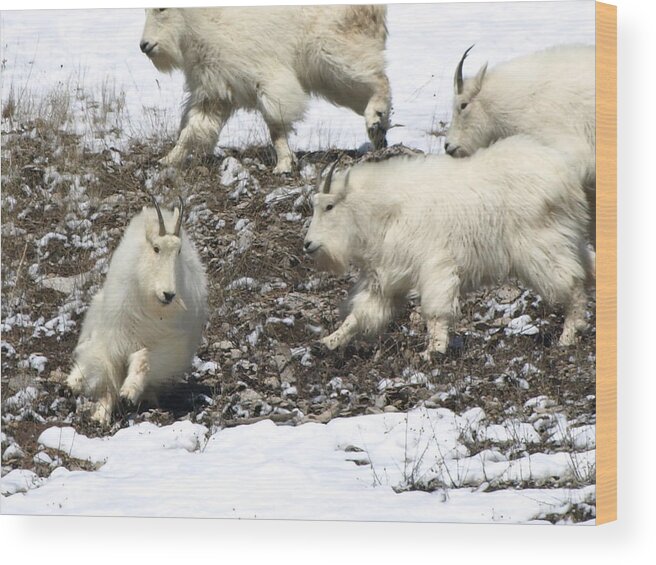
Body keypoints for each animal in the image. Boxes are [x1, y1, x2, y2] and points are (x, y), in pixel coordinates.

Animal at [66, 194, 208, 424]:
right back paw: (72, 386)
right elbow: (110, 380)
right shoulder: (115, 340)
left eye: (178, 251)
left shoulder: (163, 345)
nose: (168, 294)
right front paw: (101, 415)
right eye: (156, 248)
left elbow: (143, 360)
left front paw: (128, 394)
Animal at [139, 5, 392, 173]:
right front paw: (167, 160)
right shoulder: (214, 88)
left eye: (161, 8)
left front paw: (283, 164)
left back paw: (375, 118)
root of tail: (375, 8)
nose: (145, 45)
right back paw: (379, 135)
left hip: (331, 50)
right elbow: (193, 128)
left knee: (376, 76)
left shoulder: (266, 75)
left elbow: (276, 122)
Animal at [304, 135, 592, 356]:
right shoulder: (385, 281)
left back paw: (568, 336)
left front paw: (433, 351)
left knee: (572, 284)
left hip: (542, 247)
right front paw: (326, 343)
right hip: (567, 239)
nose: (308, 244)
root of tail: (564, 174)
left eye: (329, 206)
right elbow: (359, 315)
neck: (385, 211)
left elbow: (434, 311)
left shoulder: (435, 266)